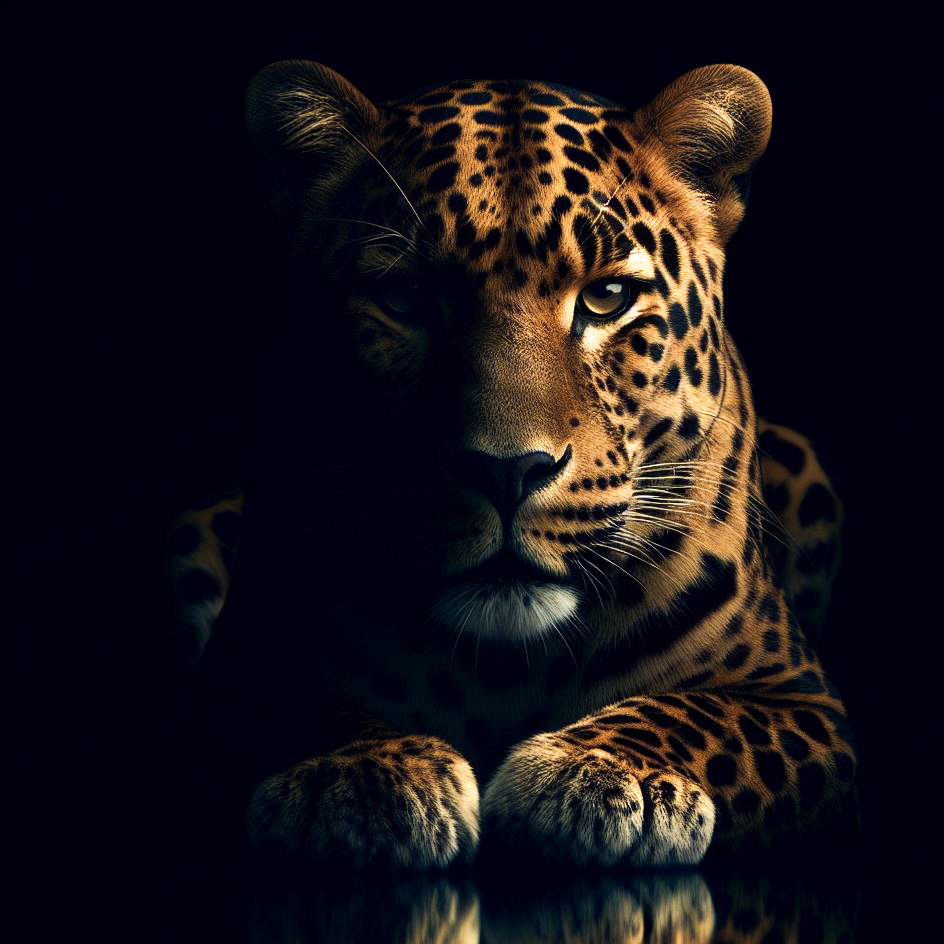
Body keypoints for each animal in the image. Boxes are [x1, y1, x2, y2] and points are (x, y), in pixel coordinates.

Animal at [170, 61, 857, 870]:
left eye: (607, 297)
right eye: (404, 297)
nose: (506, 471)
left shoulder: (804, 703)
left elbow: (701, 716)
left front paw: (603, 775)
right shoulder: (234, 670)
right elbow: (296, 708)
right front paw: (361, 779)